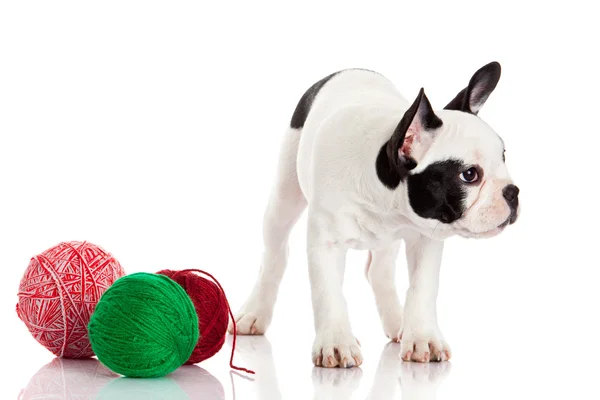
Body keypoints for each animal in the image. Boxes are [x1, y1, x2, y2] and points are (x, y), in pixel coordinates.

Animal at [227, 61, 516, 366]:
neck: (387, 195)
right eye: (469, 175)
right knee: (275, 255)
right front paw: (336, 343)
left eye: (503, 158)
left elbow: (422, 289)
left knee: (378, 271)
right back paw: (255, 312)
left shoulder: (426, 238)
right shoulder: (326, 243)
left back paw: (398, 321)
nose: (513, 191)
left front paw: (422, 337)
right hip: (284, 196)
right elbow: (328, 292)